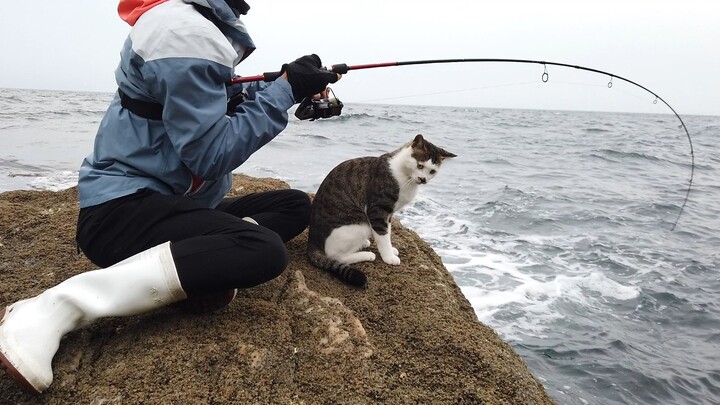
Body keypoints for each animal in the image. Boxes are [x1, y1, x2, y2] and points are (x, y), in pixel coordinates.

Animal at [308, 134, 456, 286]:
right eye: (420, 165)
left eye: (432, 171)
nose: (423, 179)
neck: (403, 175)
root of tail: (312, 241)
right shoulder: (378, 210)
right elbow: (382, 236)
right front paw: (388, 256)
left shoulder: (389, 213)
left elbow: (388, 232)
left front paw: (390, 249)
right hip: (360, 225)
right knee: (336, 256)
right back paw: (367, 254)